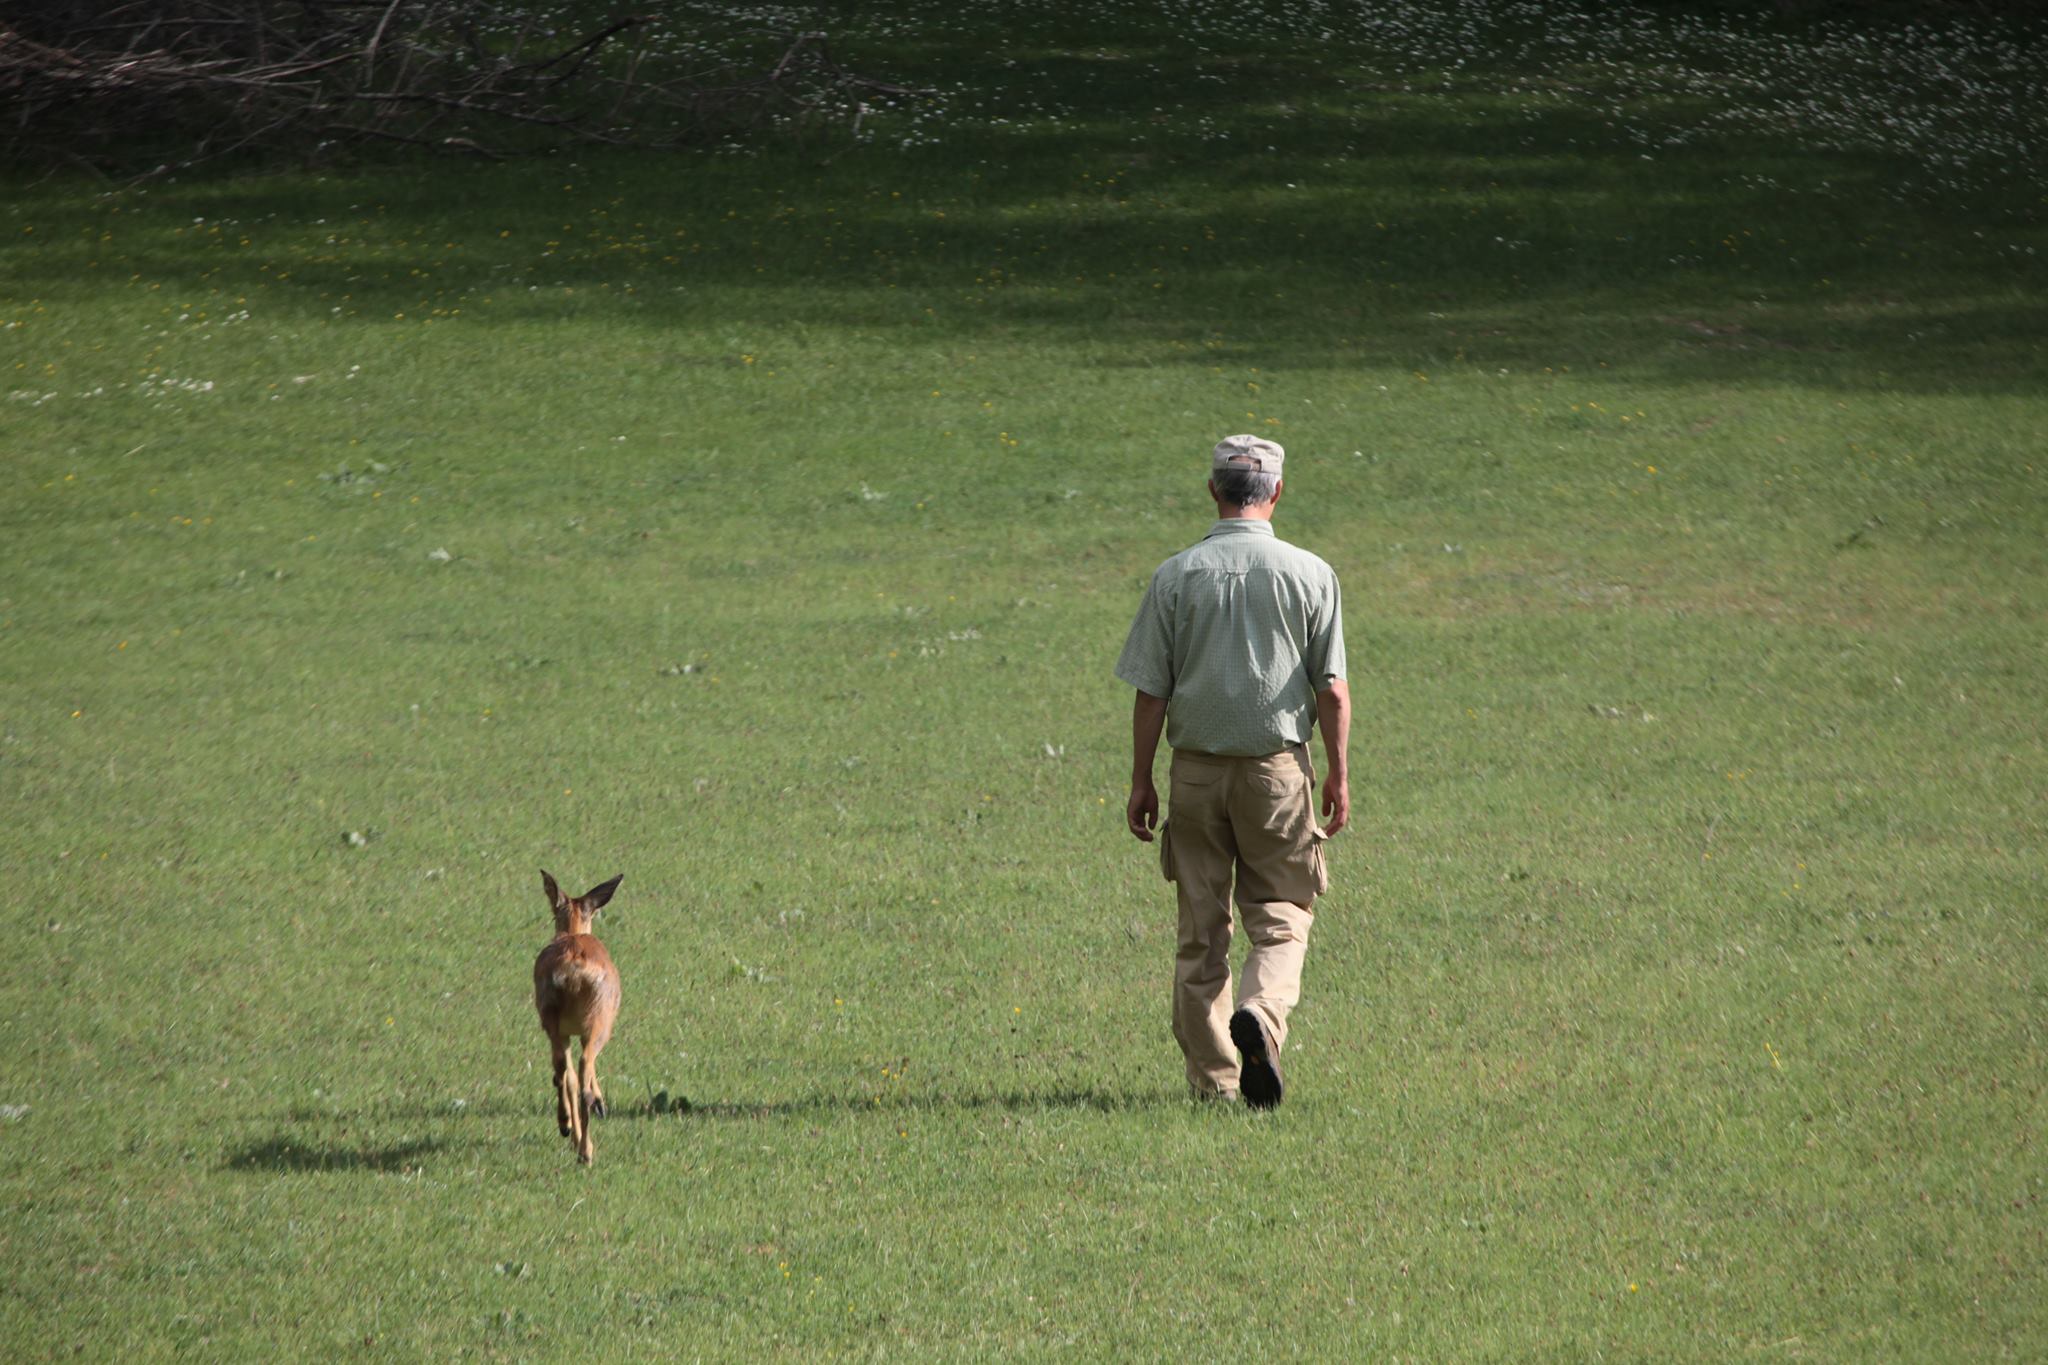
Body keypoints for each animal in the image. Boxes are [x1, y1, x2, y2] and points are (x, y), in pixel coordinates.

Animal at [532, 875, 618, 1162]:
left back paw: (568, 1128)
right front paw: (601, 1104)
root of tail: (574, 971)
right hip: (600, 1019)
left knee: (562, 1069)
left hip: (550, 1015)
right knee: (581, 1070)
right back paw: (585, 1148)